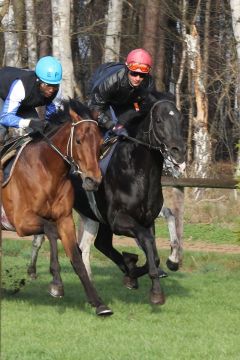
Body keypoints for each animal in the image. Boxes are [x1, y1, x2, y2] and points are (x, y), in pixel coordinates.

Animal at [1, 98, 112, 316]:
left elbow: (77, 258)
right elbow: (50, 230)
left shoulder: (65, 220)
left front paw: (98, 303)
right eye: (78, 140)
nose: (93, 180)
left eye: (100, 143)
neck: (46, 171)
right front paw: (56, 284)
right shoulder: (21, 221)